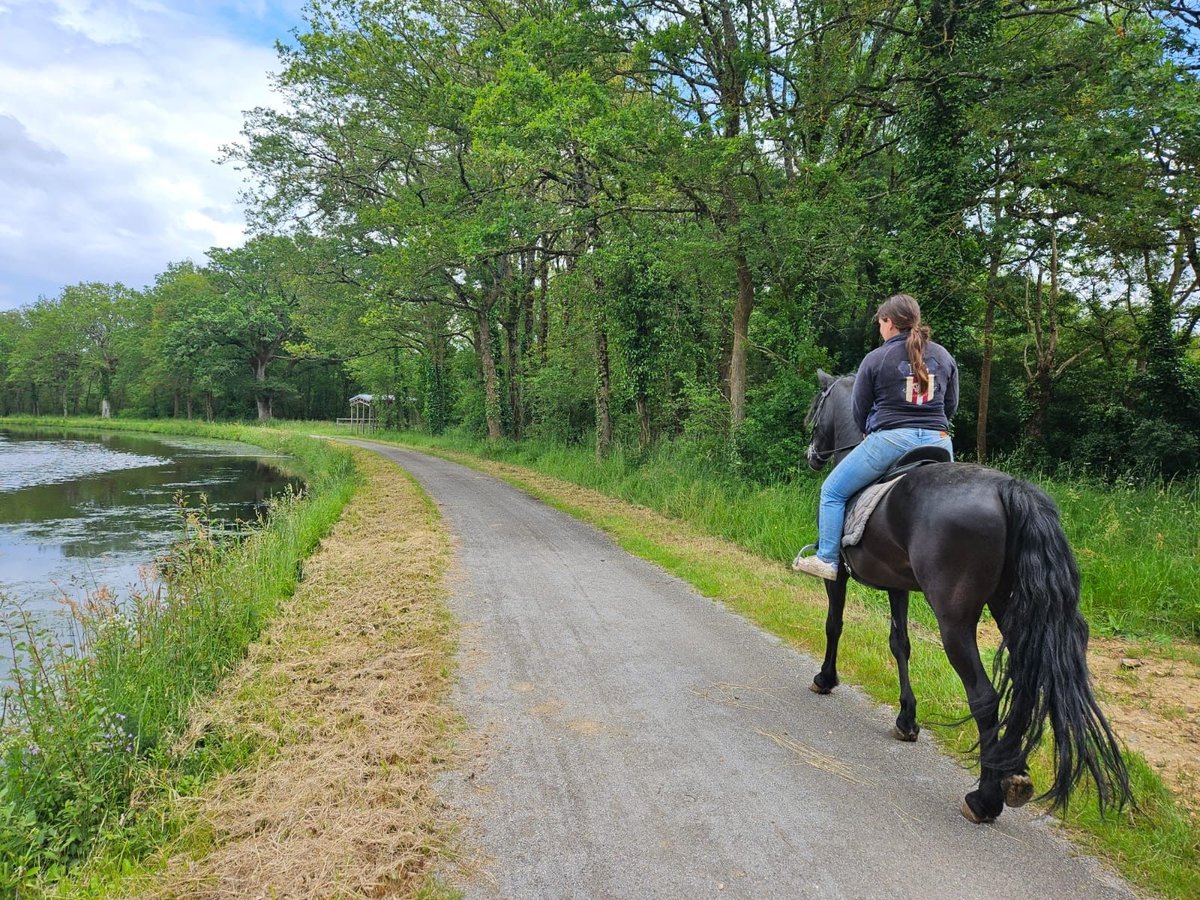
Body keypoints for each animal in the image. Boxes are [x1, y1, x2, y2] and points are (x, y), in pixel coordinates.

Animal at [801, 367, 1128, 825]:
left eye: (817, 406)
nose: (813, 453)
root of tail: (1010, 490)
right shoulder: (898, 585)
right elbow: (900, 644)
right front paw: (907, 719)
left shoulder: (840, 577)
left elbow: (834, 624)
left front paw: (825, 679)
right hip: (1010, 609)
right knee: (1025, 688)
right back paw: (1014, 775)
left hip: (954, 621)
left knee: (985, 697)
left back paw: (985, 798)